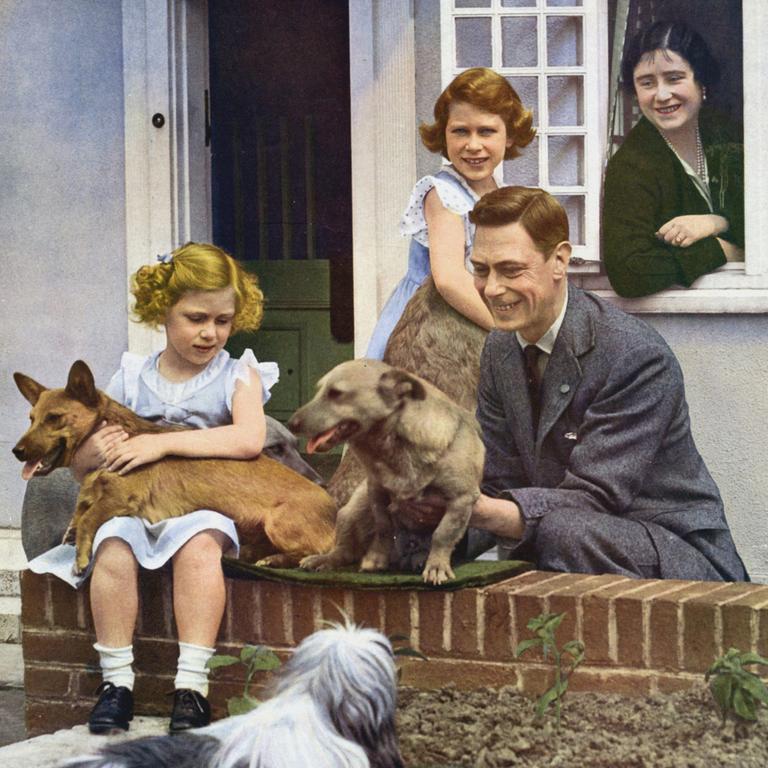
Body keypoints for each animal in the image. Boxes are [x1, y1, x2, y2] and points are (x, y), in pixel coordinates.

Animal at [12, 358, 336, 568]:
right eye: (31, 419)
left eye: (54, 418)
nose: (16, 451)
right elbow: (81, 511)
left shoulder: (121, 498)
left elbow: (90, 517)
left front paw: (80, 555)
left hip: (278, 524)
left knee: (313, 554)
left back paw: (277, 558)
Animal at [284, 360, 484, 584]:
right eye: (319, 391)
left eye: (336, 393)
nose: (291, 423)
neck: (394, 448)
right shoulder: (376, 492)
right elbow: (383, 527)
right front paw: (376, 558)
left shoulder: (461, 499)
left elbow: (443, 534)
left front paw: (436, 566)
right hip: (351, 511)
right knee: (344, 551)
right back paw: (323, 559)